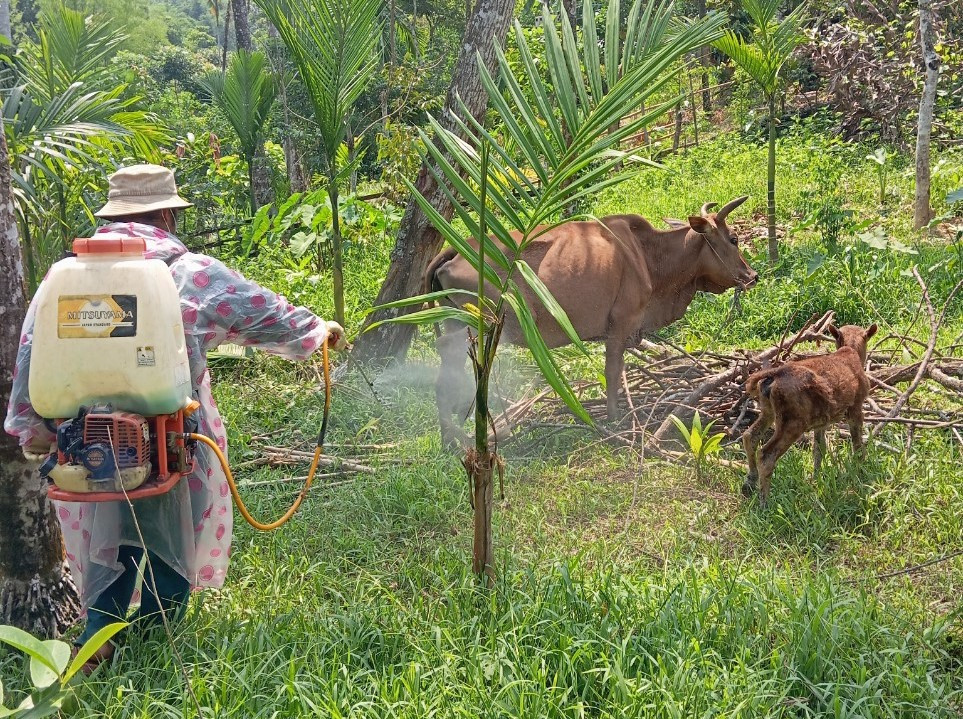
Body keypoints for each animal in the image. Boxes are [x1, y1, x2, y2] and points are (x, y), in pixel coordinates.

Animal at [430, 195, 760, 444]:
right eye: (733, 239)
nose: (753, 276)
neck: (648, 255)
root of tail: (455, 251)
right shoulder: (620, 324)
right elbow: (613, 371)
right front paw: (614, 418)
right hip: (484, 321)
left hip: (457, 319)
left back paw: (454, 434)